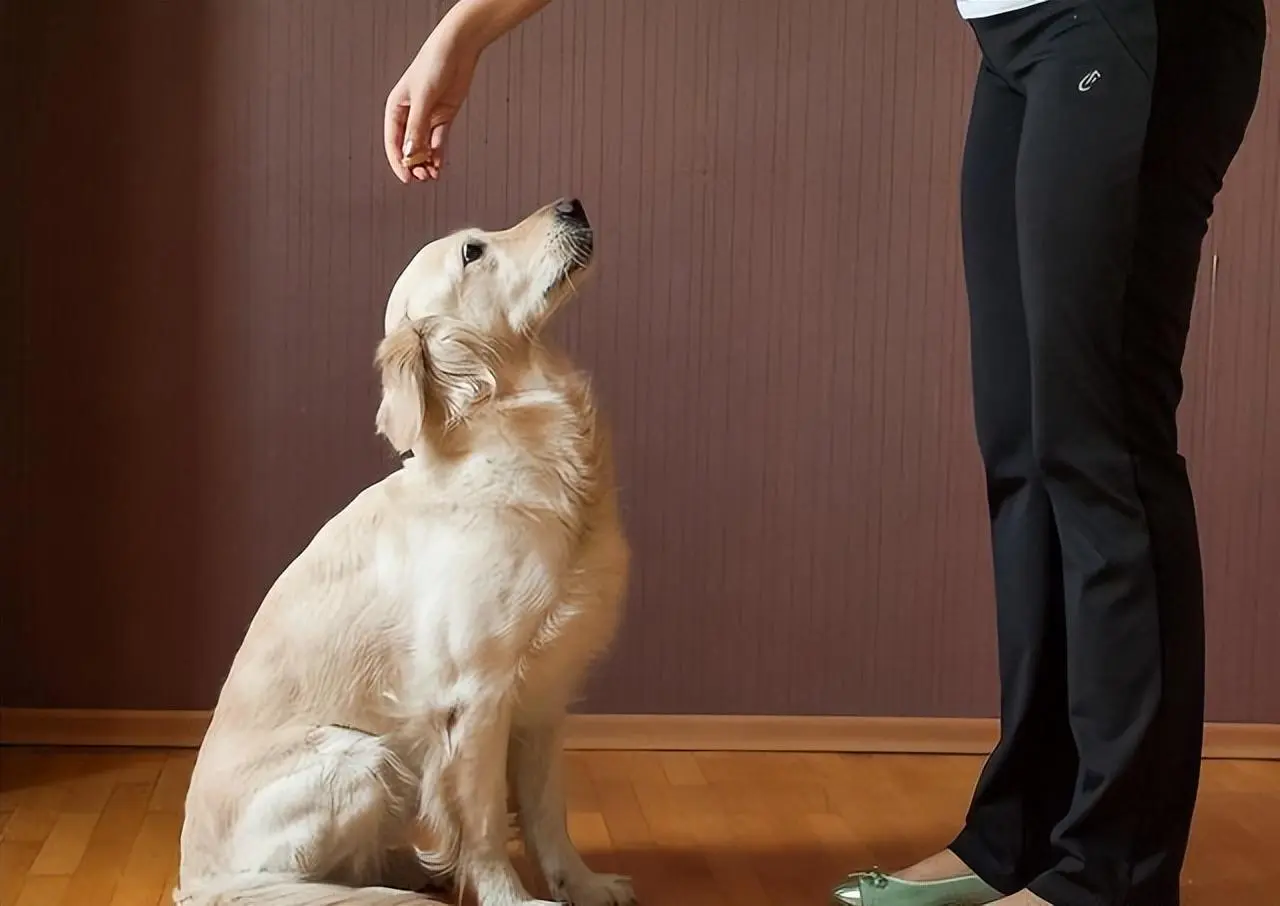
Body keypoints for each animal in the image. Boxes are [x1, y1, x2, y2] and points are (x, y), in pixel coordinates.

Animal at [177, 199, 637, 906]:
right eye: (473, 252)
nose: (572, 205)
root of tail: (194, 881)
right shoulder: (475, 694)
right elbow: (482, 824)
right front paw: (511, 898)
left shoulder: (544, 693)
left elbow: (546, 815)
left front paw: (581, 884)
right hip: (361, 759)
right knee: (296, 882)